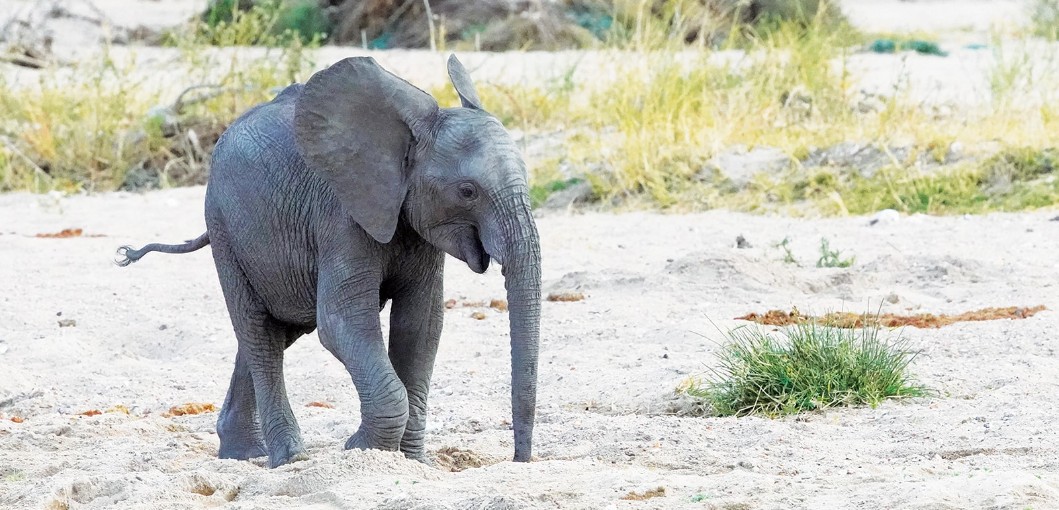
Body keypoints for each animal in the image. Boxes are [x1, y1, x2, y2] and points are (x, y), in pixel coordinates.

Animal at [120, 55, 542, 465]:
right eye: (468, 191)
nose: (519, 459)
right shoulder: (341, 220)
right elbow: (342, 321)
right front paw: (363, 451)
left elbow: (420, 326)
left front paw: (413, 463)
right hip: (225, 227)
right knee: (259, 333)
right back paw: (288, 458)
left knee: (277, 330)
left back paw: (242, 454)